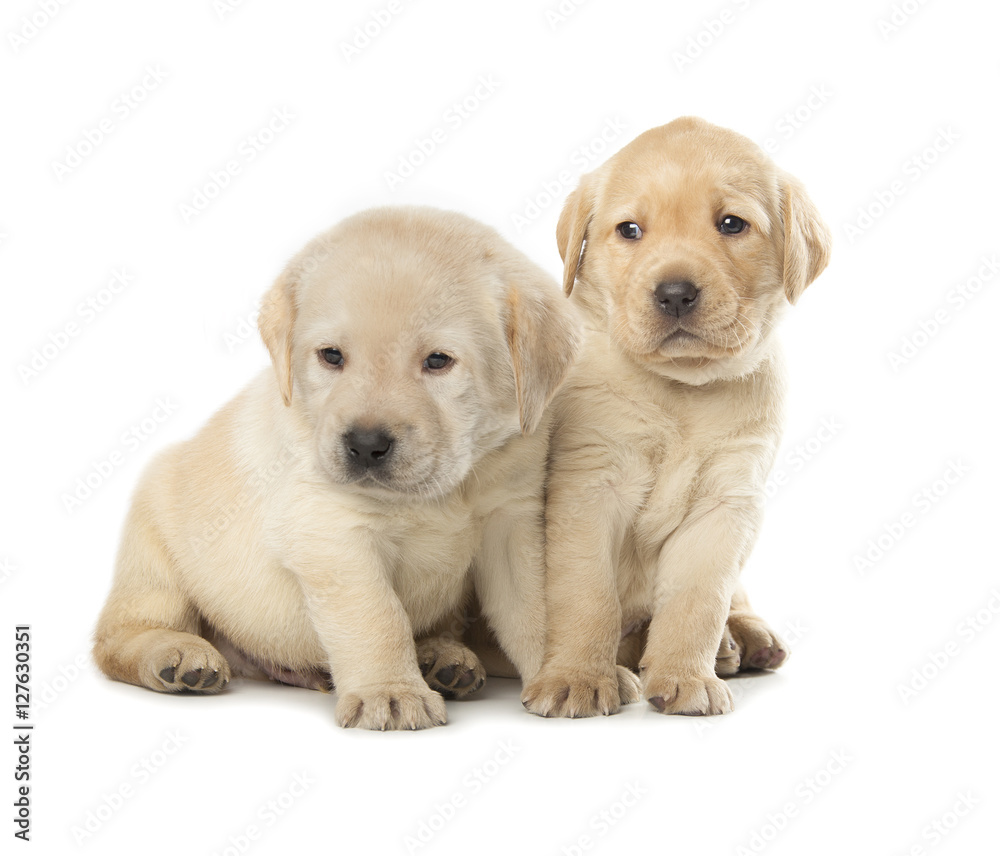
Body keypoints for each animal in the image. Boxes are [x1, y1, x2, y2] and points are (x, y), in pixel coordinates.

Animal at [95, 206, 580, 728]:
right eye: (331, 356)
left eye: (438, 361)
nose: (365, 445)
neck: (448, 489)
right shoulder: (334, 534)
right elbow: (378, 617)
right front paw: (390, 691)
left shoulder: (512, 522)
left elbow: (538, 609)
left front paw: (569, 675)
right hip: (153, 546)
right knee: (120, 635)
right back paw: (178, 655)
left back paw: (441, 657)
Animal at [520, 115, 832, 716]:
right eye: (629, 230)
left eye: (731, 224)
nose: (675, 293)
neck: (681, 391)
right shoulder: (588, 488)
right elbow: (585, 595)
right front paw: (576, 676)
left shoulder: (726, 503)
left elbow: (698, 602)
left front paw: (686, 677)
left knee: (733, 597)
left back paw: (744, 638)